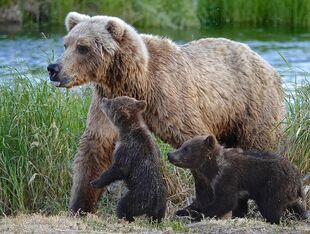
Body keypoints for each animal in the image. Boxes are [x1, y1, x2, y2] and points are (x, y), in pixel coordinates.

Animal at [47, 12, 284, 214]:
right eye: (66, 44)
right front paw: (80, 205)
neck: (135, 81)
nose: (53, 68)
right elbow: (95, 146)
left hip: (252, 105)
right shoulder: (106, 101)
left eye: (83, 47)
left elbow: (194, 139)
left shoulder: (170, 95)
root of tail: (268, 65)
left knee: (261, 142)